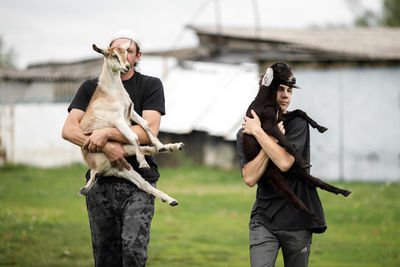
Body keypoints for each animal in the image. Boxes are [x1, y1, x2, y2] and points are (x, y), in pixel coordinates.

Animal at [77, 40, 183, 207]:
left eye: (127, 52)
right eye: (113, 55)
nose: (127, 66)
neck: (111, 93)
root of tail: (95, 169)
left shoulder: (130, 111)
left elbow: (145, 124)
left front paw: (160, 145)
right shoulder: (118, 120)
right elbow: (135, 136)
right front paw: (144, 163)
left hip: (124, 159)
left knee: (144, 180)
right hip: (122, 162)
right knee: (143, 174)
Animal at [241, 61, 350, 225]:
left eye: (290, 68)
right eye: (280, 69)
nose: (294, 79)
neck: (268, 101)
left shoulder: (281, 118)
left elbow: (300, 111)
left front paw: (320, 127)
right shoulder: (270, 125)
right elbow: (287, 142)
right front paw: (301, 160)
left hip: (295, 171)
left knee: (317, 181)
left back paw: (342, 191)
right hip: (275, 176)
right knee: (294, 200)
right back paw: (316, 219)